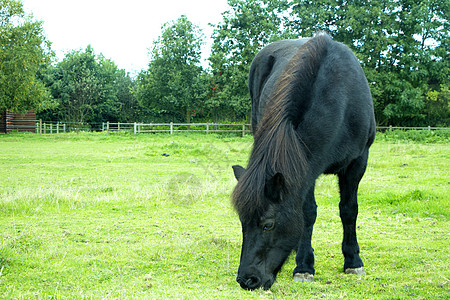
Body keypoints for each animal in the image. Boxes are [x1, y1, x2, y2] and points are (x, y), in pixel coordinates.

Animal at [232, 33, 376, 290]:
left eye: (268, 224)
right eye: (241, 222)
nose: (247, 280)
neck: (340, 99)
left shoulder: (358, 162)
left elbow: (349, 209)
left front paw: (353, 261)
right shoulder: (306, 171)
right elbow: (308, 213)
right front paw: (304, 266)